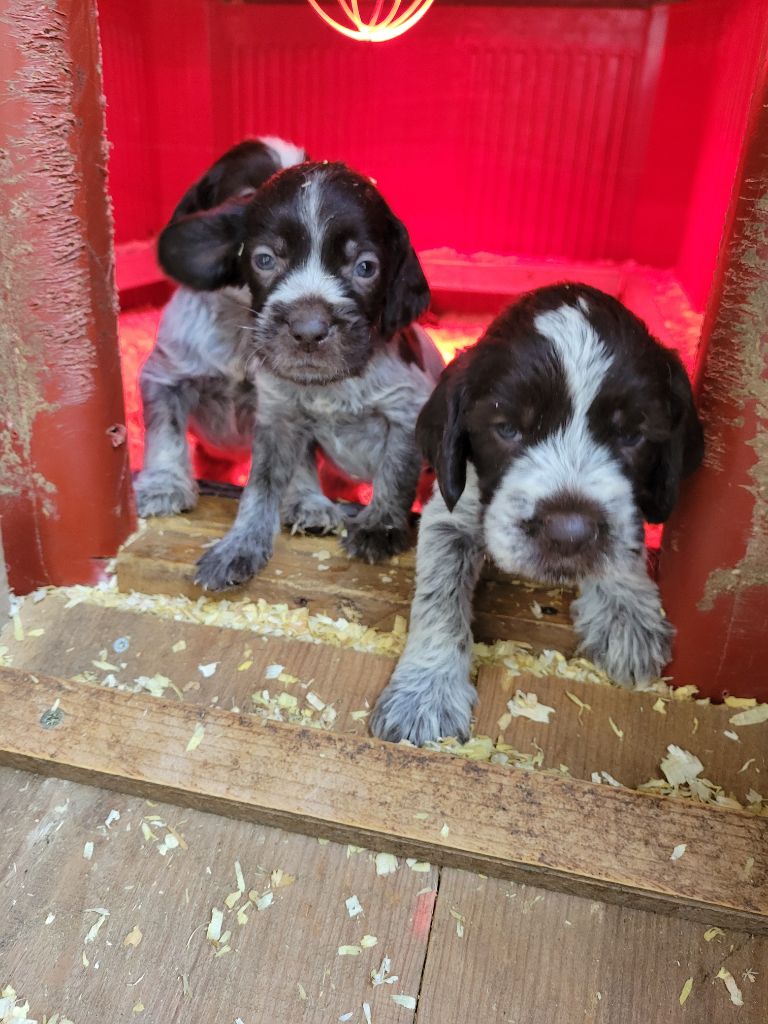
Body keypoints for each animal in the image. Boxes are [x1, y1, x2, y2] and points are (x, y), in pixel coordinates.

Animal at [156, 160, 444, 593]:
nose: (308, 331)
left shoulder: (406, 412)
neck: (333, 384)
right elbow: (259, 488)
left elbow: (395, 475)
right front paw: (239, 545)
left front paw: (380, 524)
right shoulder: (278, 419)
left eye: (365, 267)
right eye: (264, 260)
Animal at [370, 284, 704, 749]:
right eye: (507, 429)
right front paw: (426, 691)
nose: (569, 533)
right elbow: (441, 597)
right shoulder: (454, 509)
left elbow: (626, 536)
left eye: (632, 435)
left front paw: (625, 610)